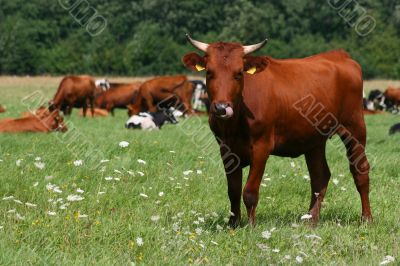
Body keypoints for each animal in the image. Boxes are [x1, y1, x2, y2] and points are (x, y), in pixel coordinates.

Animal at [183, 35, 374, 227]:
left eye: (239, 73)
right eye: (209, 72)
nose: (222, 108)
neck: (235, 122)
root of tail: (339, 55)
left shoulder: (261, 147)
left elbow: (250, 191)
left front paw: (251, 226)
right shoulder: (226, 149)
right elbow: (233, 190)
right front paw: (233, 224)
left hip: (354, 127)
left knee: (360, 171)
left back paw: (366, 218)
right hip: (314, 140)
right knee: (319, 176)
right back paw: (311, 220)